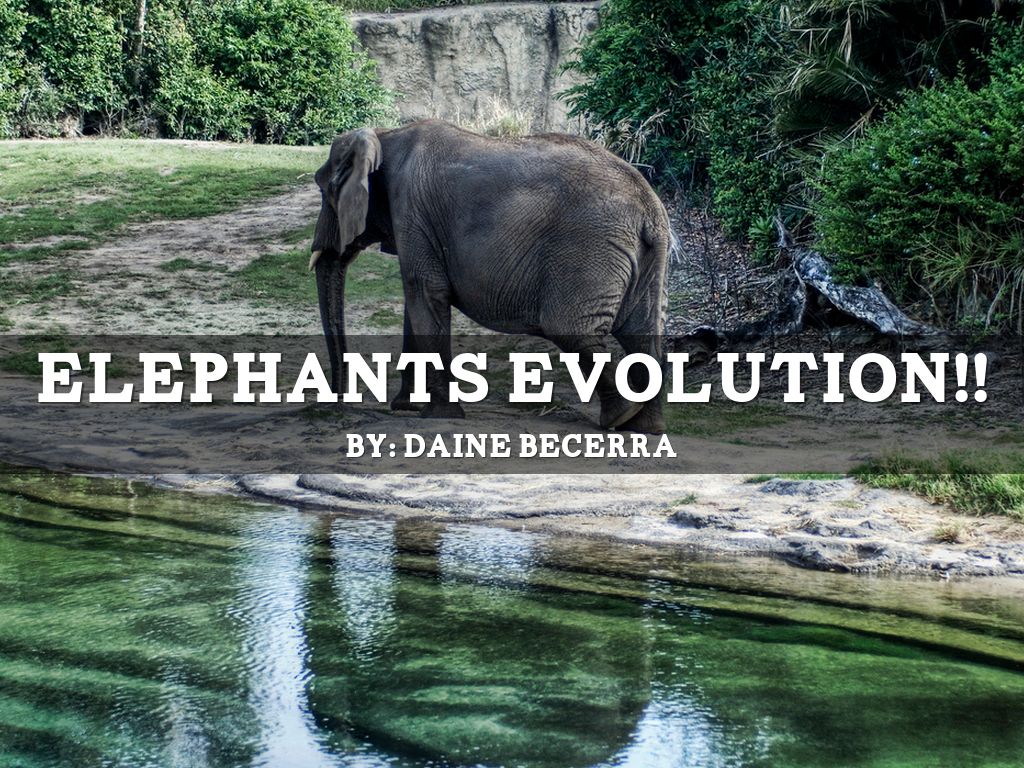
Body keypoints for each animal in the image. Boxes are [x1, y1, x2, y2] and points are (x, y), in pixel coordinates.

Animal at [309, 120, 671, 434]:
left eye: (326, 190)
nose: (338, 403)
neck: (384, 134)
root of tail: (650, 208)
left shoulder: (411, 208)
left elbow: (425, 292)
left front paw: (437, 415)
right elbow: (417, 303)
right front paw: (407, 407)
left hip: (588, 247)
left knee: (570, 329)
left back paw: (620, 417)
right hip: (646, 257)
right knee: (642, 335)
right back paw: (645, 426)